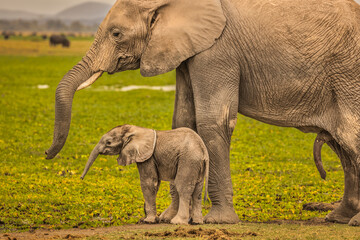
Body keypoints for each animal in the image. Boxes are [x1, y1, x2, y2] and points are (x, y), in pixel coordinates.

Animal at [79, 124, 208, 224]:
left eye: (108, 142)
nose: (81, 178)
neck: (136, 129)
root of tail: (203, 149)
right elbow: (154, 184)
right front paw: (147, 219)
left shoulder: (147, 156)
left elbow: (148, 183)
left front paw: (148, 221)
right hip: (197, 163)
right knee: (197, 190)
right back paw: (197, 222)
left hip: (188, 160)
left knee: (183, 187)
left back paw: (177, 222)